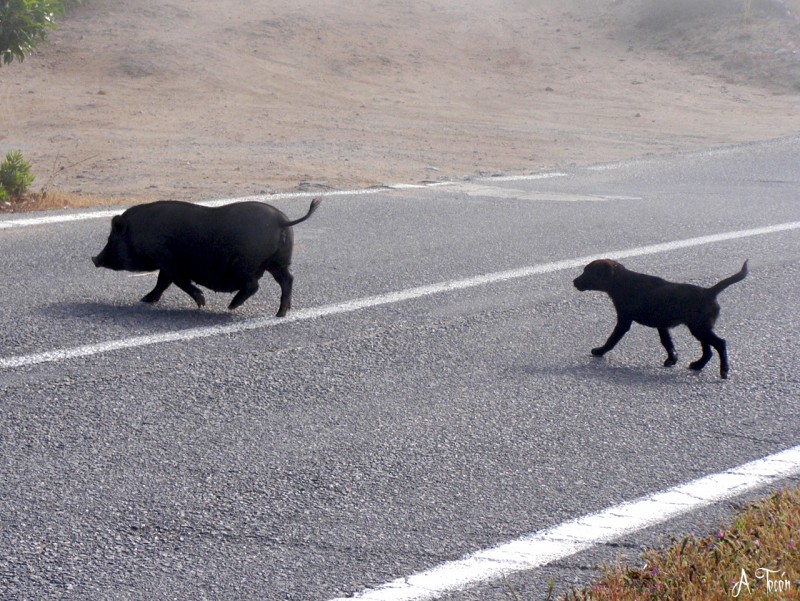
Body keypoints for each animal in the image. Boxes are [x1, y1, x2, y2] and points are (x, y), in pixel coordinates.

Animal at [91, 199, 322, 316]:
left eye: (111, 239)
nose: (94, 259)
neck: (140, 232)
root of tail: (282, 221)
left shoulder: (169, 262)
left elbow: (175, 282)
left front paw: (201, 303)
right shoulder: (166, 265)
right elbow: (162, 283)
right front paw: (145, 300)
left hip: (245, 265)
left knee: (254, 285)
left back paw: (231, 307)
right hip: (278, 262)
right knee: (287, 280)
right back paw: (281, 313)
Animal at [572, 258, 748, 380]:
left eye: (588, 272)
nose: (574, 282)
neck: (622, 282)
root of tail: (710, 292)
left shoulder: (624, 320)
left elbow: (612, 339)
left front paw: (600, 351)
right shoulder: (662, 325)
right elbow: (667, 342)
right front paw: (672, 359)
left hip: (699, 328)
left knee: (720, 343)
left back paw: (724, 370)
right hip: (700, 327)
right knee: (708, 350)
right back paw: (698, 365)